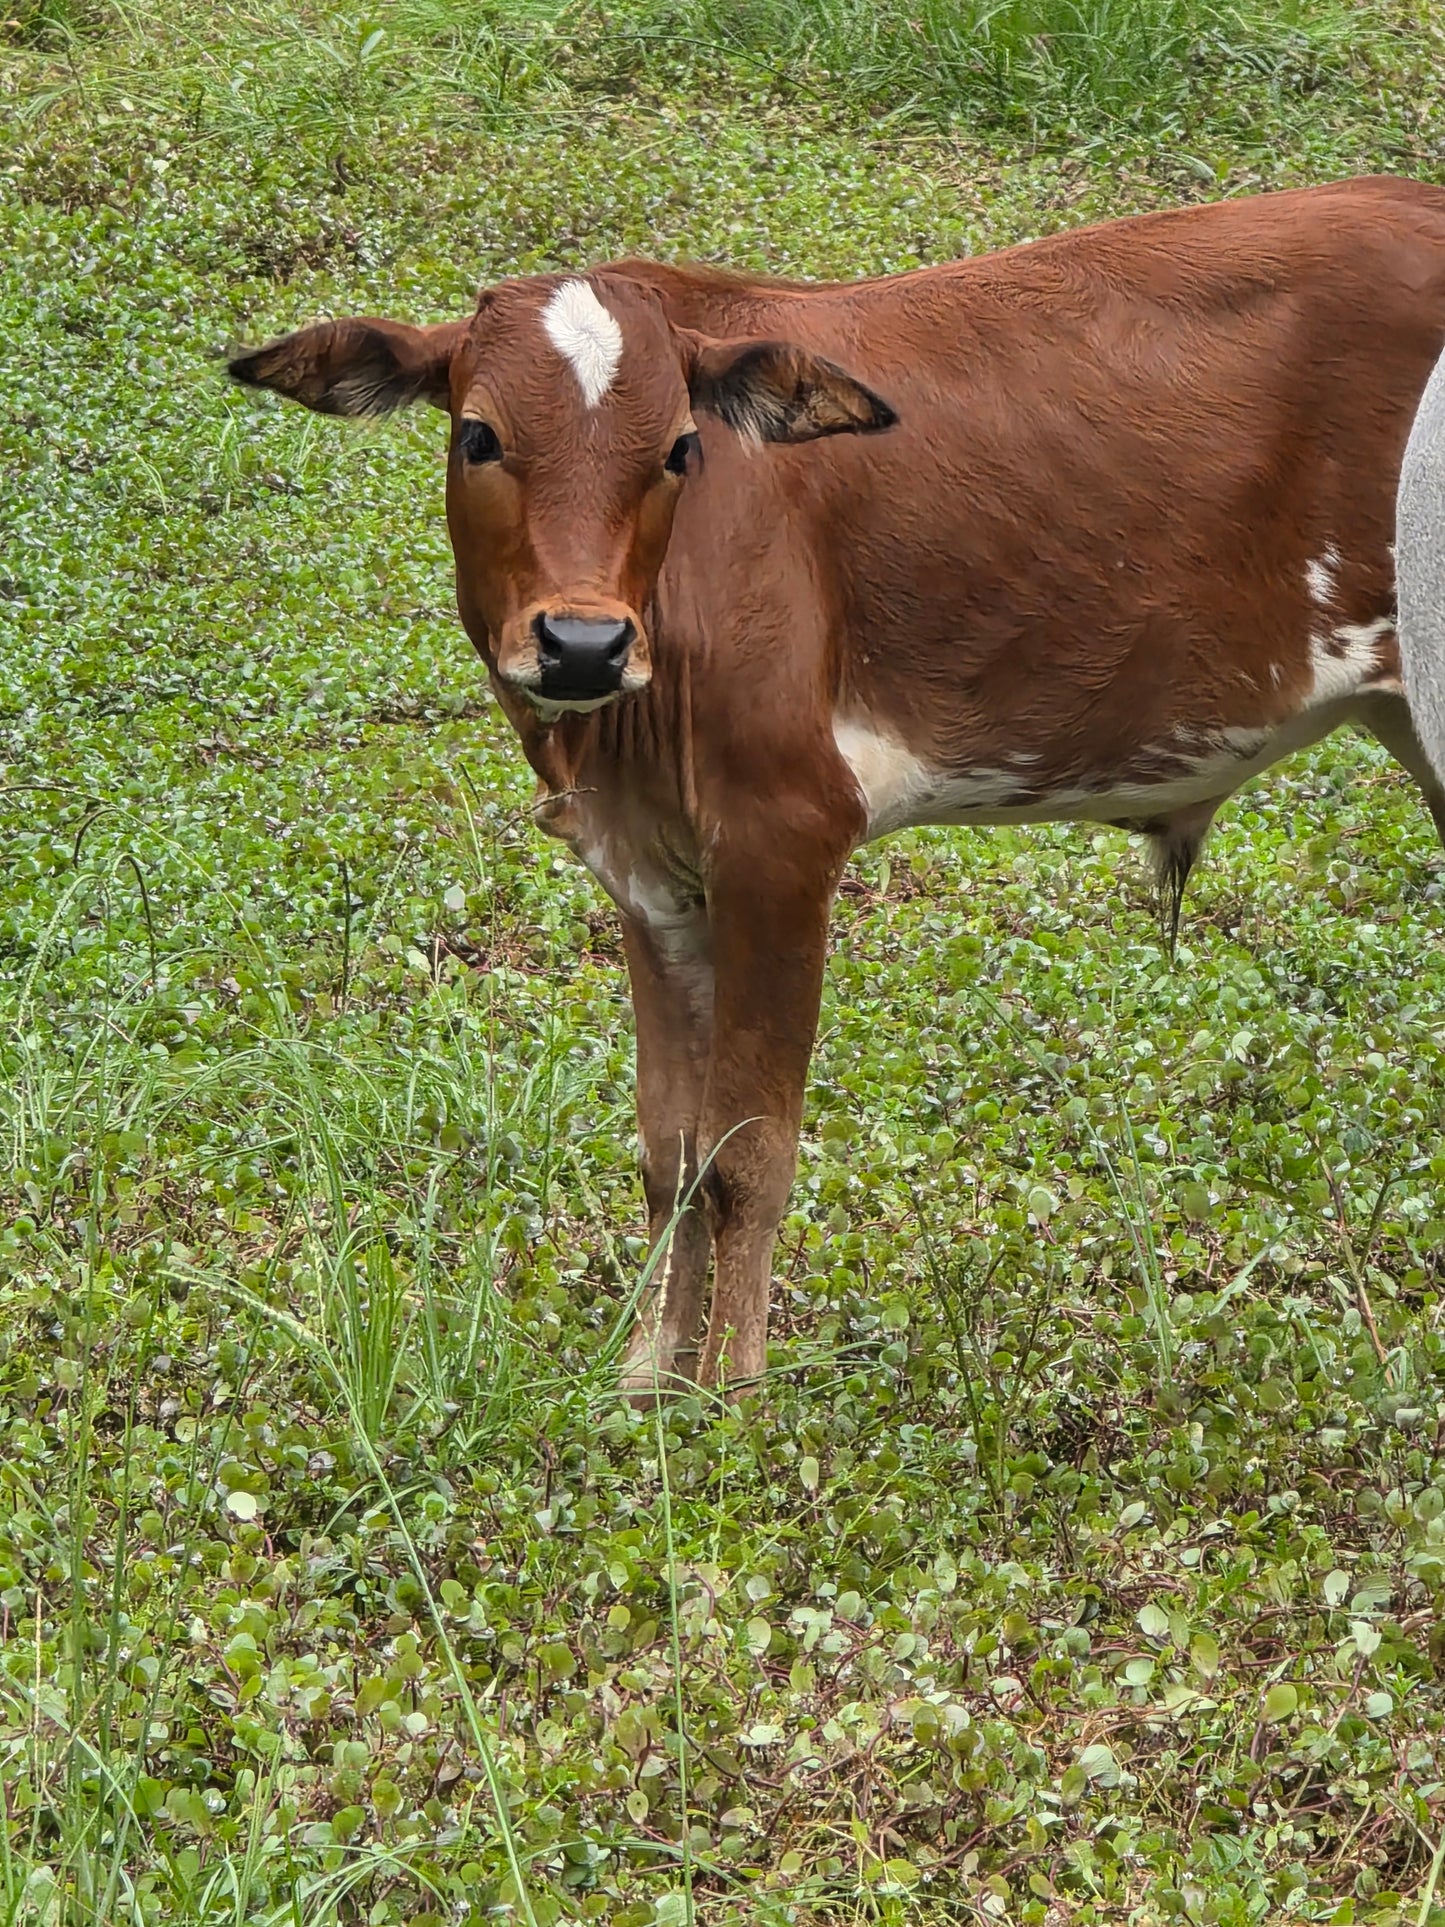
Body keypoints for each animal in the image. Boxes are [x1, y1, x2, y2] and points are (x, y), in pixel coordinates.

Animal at [229, 175, 1445, 1398]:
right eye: (477, 434)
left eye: (679, 449)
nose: (582, 645)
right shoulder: (648, 872)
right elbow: (671, 1150)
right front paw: (647, 1379)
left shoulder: (784, 834)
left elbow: (749, 1151)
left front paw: (733, 1390)